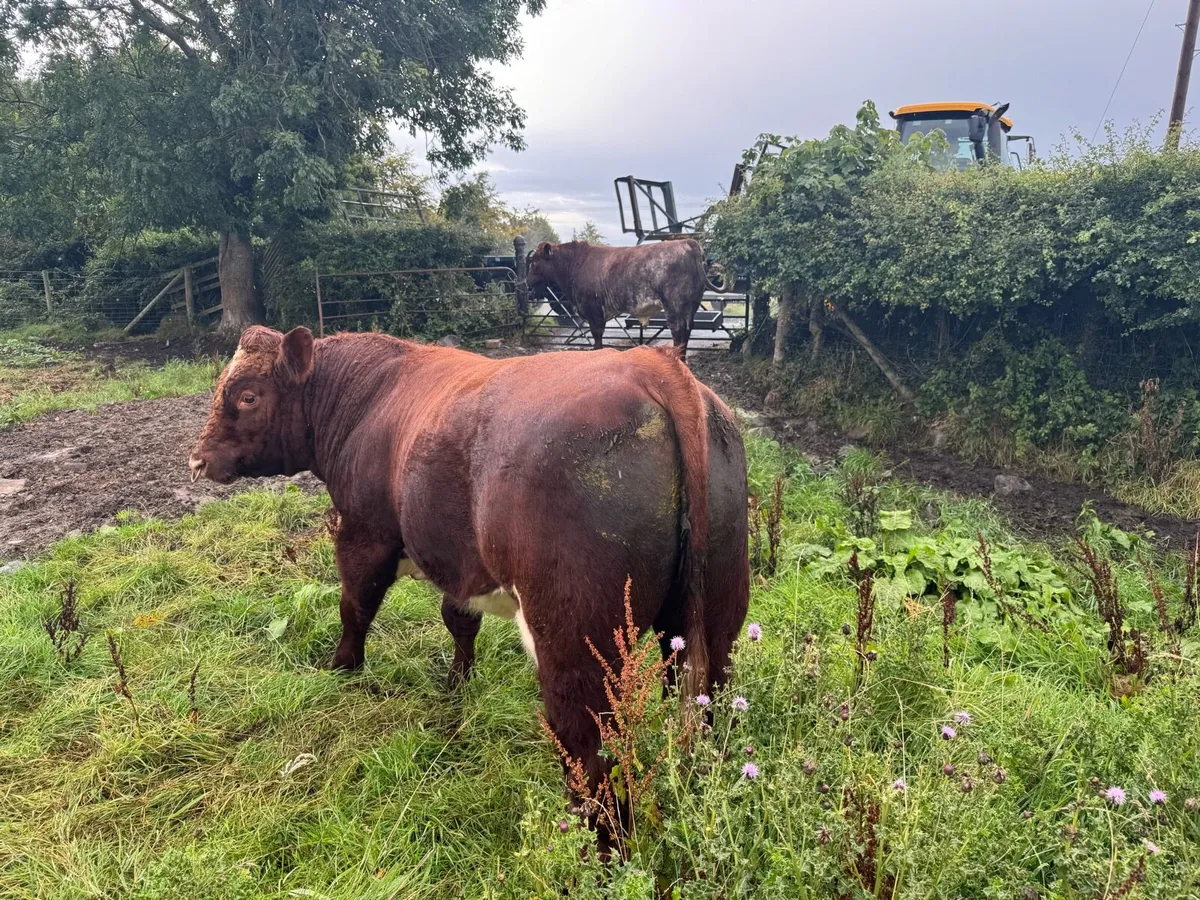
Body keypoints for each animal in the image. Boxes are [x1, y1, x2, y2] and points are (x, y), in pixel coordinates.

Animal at [189, 326, 750, 836]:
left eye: (247, 395)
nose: (196, 460)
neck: (370, 400)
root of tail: (653, 365)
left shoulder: (364, 533)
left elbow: (355, 606)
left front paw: (342, 668)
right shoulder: (460, 564)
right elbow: (458, 620)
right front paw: (458, 682)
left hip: (577, 645)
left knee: (592, 763)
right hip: (713, 626)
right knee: (705, 710)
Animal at [526, 239, 722, 351]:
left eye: (534, 262)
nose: (527, 282)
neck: (576, 263)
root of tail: (687, 242)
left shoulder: (593, 310)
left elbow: (597, 337)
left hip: (675, 305)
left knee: (678, 332)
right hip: (692, 304)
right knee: (688, 330)